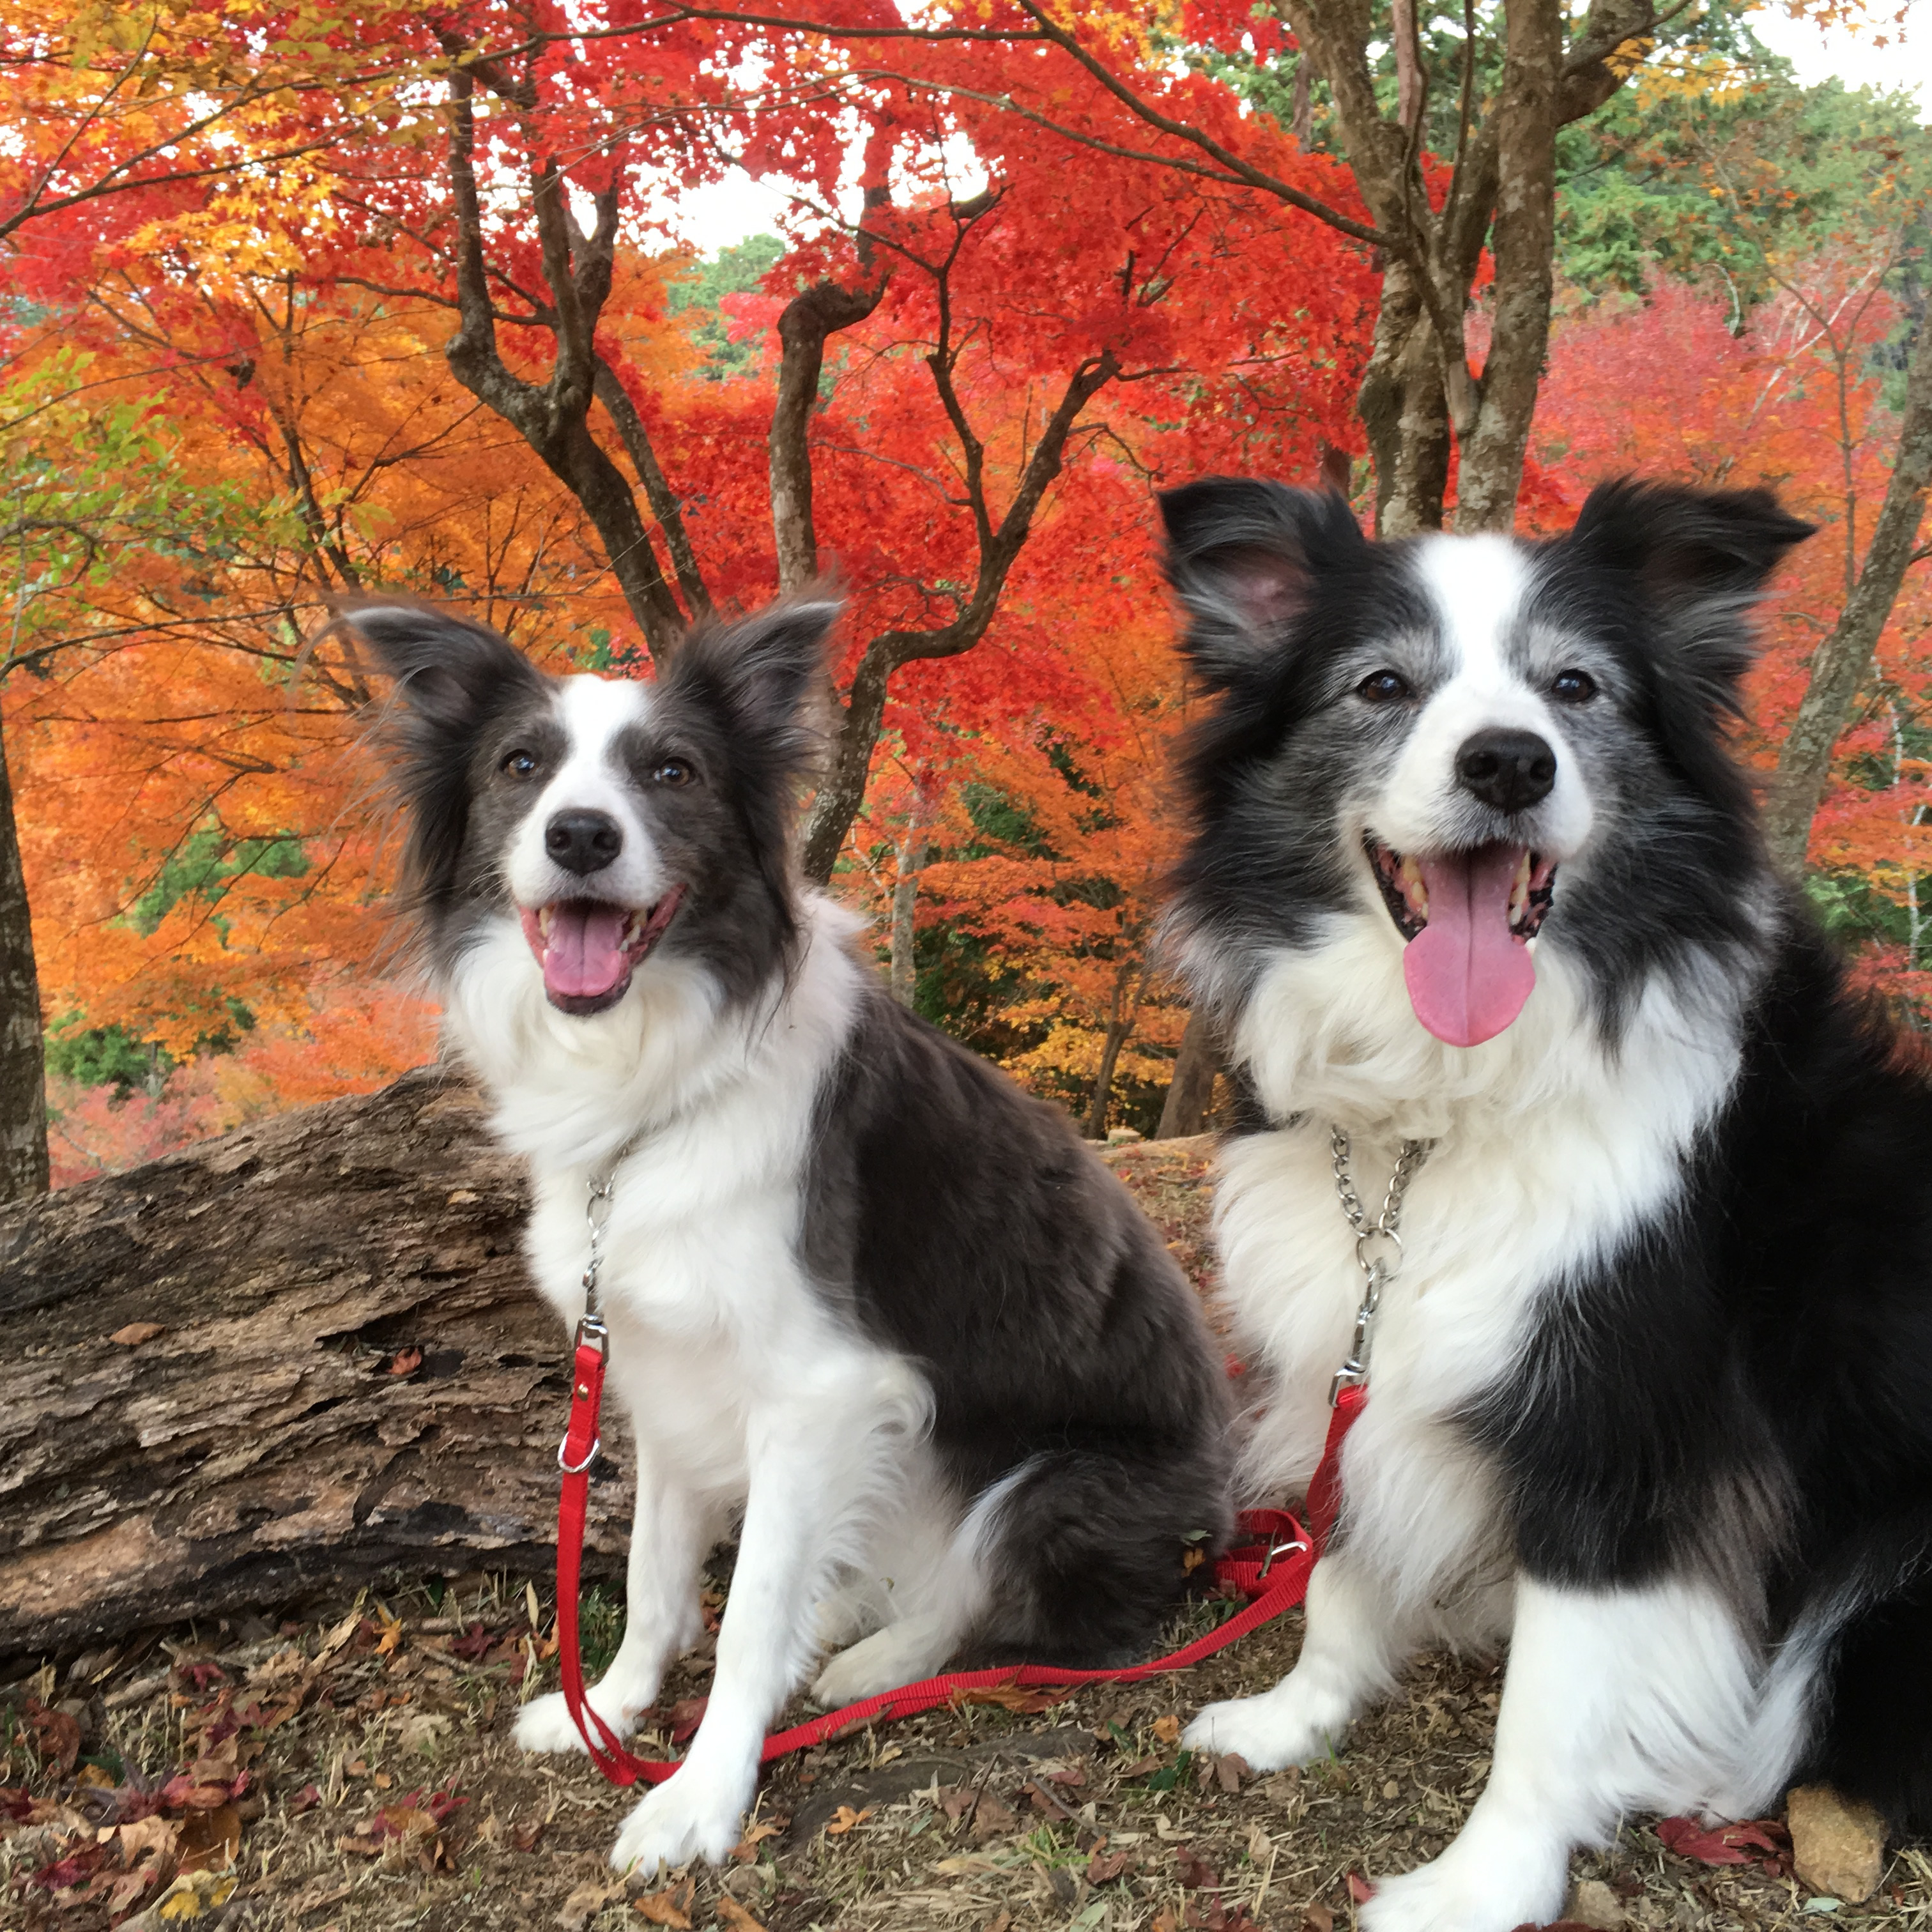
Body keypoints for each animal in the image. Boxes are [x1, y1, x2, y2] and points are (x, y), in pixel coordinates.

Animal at [340, 599, 1229, 1870]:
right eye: (520, 765)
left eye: (672, 770)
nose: (578, 836)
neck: (662, 1083)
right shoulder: (655, 1362)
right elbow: (658, 1572)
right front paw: (612, 1709)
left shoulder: (820, 1393)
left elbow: (751, 1612)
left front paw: (698, 1792)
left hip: (1061, 1479)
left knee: (989, 1596)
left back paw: (876, 1657)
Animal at [1151, 479, 1932, 1932]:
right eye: (1382, 684)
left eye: (1575, 687)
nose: (1509, 764)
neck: (1442, 1103)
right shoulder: (1365, 1348)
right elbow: (1338, 1563)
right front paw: (1299, 1714)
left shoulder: (1622, 1433)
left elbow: (1552, 1701)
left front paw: (1483, 1880)